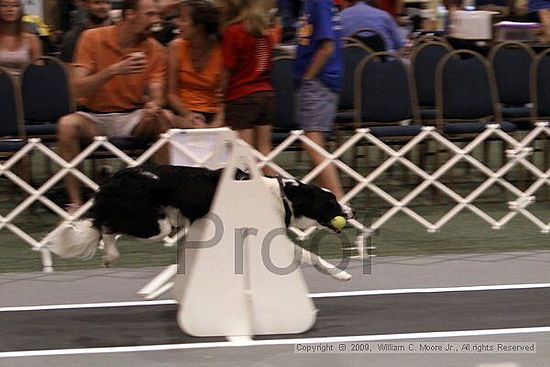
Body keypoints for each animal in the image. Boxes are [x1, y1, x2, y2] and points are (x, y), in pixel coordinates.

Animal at [49, 165, 356, 280]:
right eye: (331, 202)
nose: (350, 211)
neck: (285, 196)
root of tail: (116, 176)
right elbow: (310, 255)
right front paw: (340, 274)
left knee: (103, 225)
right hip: (156, 224)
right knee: (105, 225)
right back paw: (110, 255)